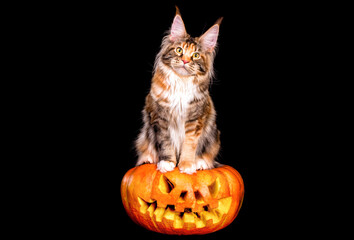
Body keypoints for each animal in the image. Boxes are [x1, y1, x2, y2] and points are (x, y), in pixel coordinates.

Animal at [136, 6, 223, 173]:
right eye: (178, 50)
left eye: (195, 55)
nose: (185, 61)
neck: (181, 82)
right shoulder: (160, 118)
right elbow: (165, 143)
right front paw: (167, 163)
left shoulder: (195, 119)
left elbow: (190, 144)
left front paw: (187, 165)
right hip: (145, 134)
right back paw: (148, 159)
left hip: (213, 136)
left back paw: (201, 163)